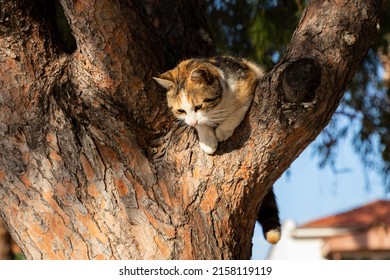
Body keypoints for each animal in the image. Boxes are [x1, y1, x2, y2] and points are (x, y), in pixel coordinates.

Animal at [155, 56, 280, 245]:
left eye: (198, 106)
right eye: (181, 111)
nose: (191, 122)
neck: (216, 108)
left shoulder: (250, 78)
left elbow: (238, 109)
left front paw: (222, 130)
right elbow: (202, 125)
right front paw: (207, 140)